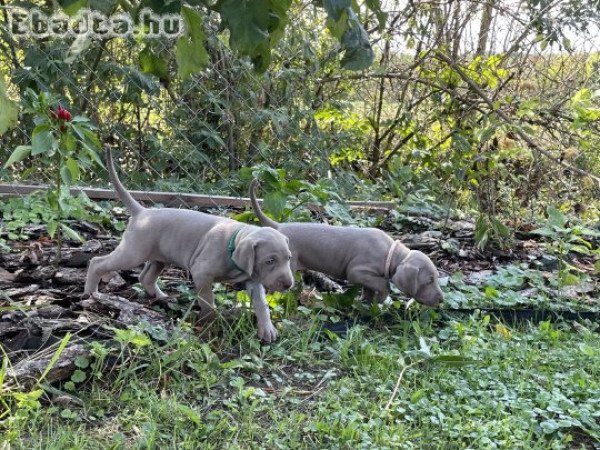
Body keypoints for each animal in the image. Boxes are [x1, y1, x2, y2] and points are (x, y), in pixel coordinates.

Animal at [84, 151, 296, 342]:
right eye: (270, 261)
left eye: (289, 258)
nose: (289, 285)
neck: (234, 241)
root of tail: (142, 212)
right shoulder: (202, 273)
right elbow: (208, 302)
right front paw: (210, 324)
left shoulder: (253, 279)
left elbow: (262, 304)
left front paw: (267, 329)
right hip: (133, 252)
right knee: (97, 262)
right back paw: (91, 292)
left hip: (159, 256)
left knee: (146, 277)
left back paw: (161, 296)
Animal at [247, 181, 440, 308]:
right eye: (429, 280)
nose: (442, 300)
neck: (391, 255)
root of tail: (279, 226)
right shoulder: (357, 271)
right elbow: (383, 284)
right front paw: (380, 299)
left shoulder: (367, 277)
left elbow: (369, 289)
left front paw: (367, 303)